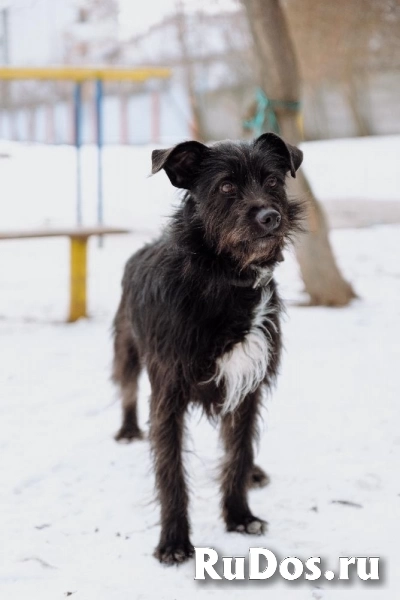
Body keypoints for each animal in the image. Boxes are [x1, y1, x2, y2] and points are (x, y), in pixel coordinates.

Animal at [111, 131, 302, 564]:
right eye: (226, 186)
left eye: (273, 181)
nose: (270, 217)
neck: (224, 281)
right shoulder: (167, 394)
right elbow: (171, 472)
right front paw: (174, 541)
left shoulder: (247, 386)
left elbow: (238, 453)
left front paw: (240, 516)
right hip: (126, 349)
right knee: (126, 387)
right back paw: (128, 429)